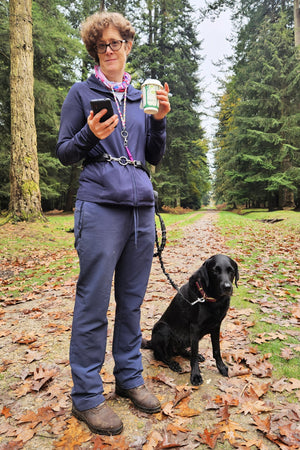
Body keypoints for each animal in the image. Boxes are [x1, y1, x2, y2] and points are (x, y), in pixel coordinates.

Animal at [142, 255, 239, 384]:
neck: (213, 300)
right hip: (163, 328)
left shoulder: (216, 325)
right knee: (161, 355)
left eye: (231, 271)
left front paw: (221, 367)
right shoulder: (195, 328)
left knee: (181, 351)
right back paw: (173, 363)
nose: (227, 287)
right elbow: (194, 355)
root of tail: (151, 342)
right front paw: (196, 375)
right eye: (215, 271)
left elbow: (216, 350)